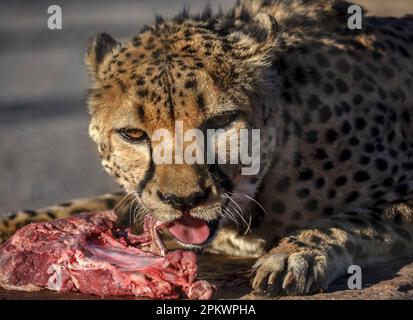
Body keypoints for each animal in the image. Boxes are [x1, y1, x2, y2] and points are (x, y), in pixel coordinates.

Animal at [0, 0, 412, 298]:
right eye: (133, 134)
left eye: (220, 121)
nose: (184, 201)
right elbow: (82, 208)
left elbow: (356, 217)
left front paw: (295, 253)